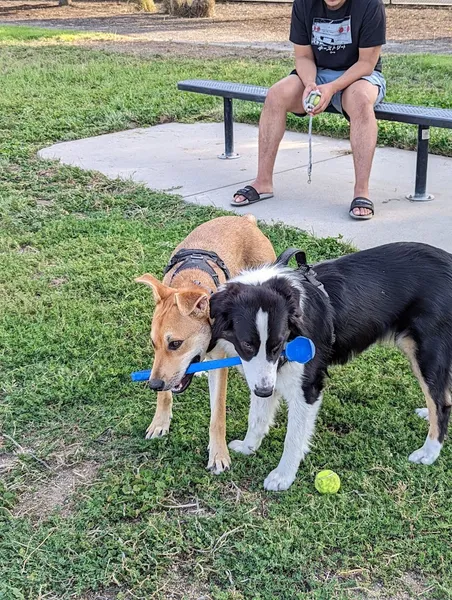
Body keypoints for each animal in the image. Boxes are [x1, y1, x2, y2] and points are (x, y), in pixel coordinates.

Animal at [135, 216, 276, 474]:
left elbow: (217, 416)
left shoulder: (219, 364)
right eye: (153, 343)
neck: (190, 280)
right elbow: (166, 394)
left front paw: (219, 454)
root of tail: (245, 220)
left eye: (176, 343)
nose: (153, 385)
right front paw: (160, 421)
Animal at [210, 244, 452, 492]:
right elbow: (257, 418)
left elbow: (293, 438)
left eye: (277, 344)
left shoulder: (307, 388)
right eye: (247, 344)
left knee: (442, 403)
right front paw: (248, 446)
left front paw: (283, 476)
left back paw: (429, 452)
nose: (264, 391)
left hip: (426, 352)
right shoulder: (268, 377)